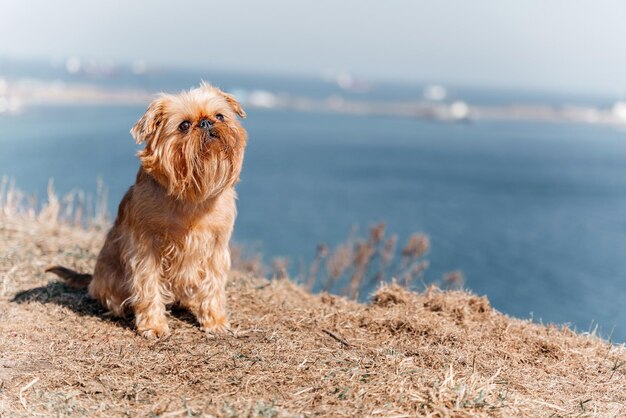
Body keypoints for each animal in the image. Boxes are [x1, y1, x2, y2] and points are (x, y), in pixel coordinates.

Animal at [47, 82, 246, 340]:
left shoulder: (215, 247)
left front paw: (215, 321)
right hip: (109, 276)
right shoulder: (146, 247)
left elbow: (212, 284)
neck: (191, 193)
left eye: (220, 116)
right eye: (184, 125)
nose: (206, 122)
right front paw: (153, 325)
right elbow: (147, 285)